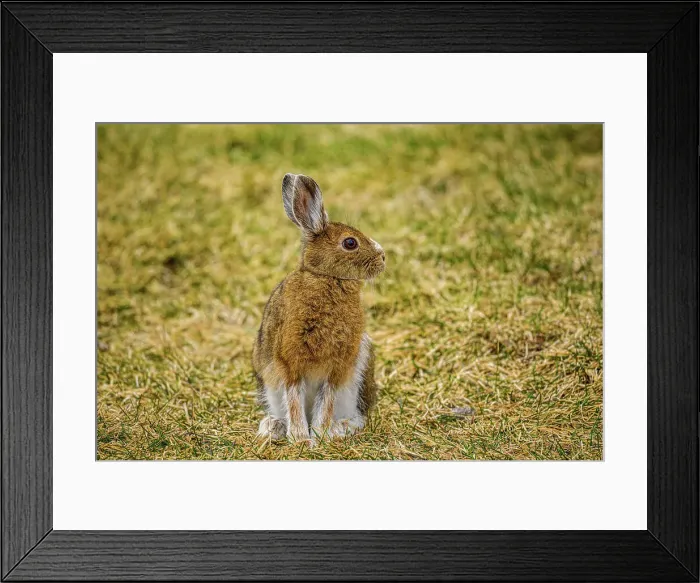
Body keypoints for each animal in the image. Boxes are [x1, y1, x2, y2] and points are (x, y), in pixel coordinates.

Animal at [253, 173, 385, 443]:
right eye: (350, 242)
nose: (383, 257)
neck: (326, 278)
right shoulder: (289, 360)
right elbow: (294, 398)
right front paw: (301, 438)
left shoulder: (337, 366)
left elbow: (326, 401)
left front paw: (320, 435)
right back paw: (273, 427)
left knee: (359, 416)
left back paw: (339, 428)